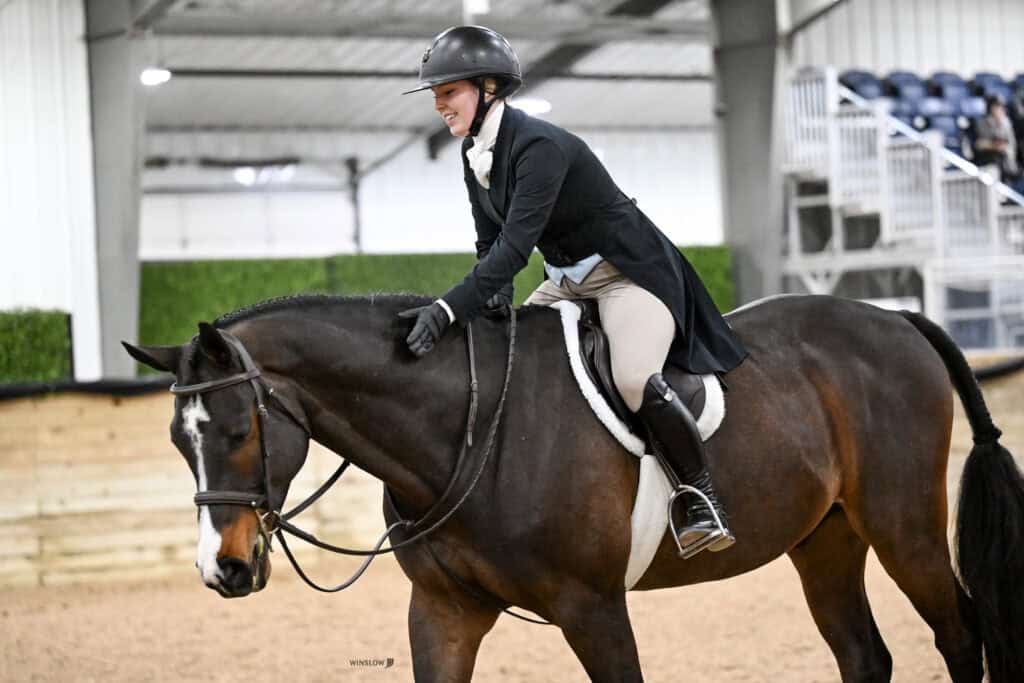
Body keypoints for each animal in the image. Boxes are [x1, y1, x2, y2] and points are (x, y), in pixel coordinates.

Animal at [123, 293, 1024, 682]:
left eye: (237, 431)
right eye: (175, 440)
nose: (222, 569)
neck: (460, 433)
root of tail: (895, 315)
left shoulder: (593, 607)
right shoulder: (443, 612)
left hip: (902, 524)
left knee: (960, 633)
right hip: (824, 536)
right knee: (865, 654)